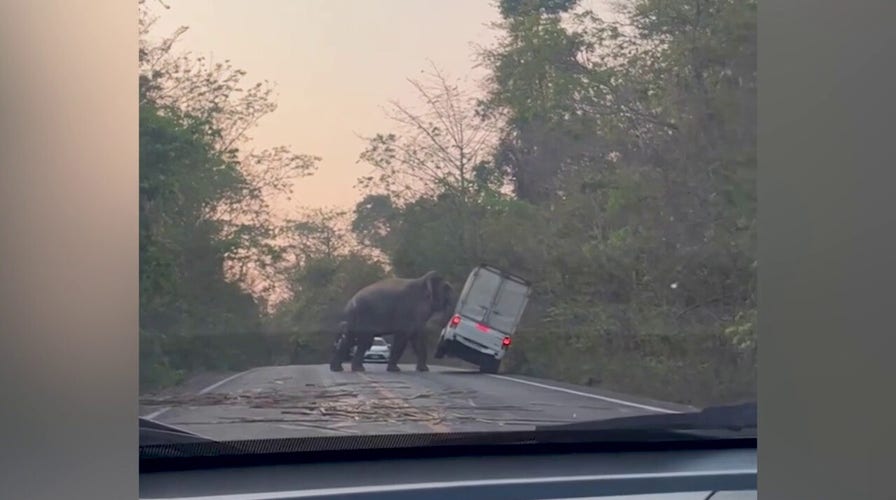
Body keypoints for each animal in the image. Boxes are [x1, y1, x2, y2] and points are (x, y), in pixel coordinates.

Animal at [328, 272, 456, 374]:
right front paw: (395, 370)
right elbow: (403, 337)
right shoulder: (407, 310)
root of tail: (350, 303)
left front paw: (423, 370)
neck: (422, 281)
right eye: (446, 288)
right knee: (364, 341)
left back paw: (339, 369)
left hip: (355, 319)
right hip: (364, 317)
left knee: (351, 340)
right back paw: (356, 369)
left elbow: (416, 338)